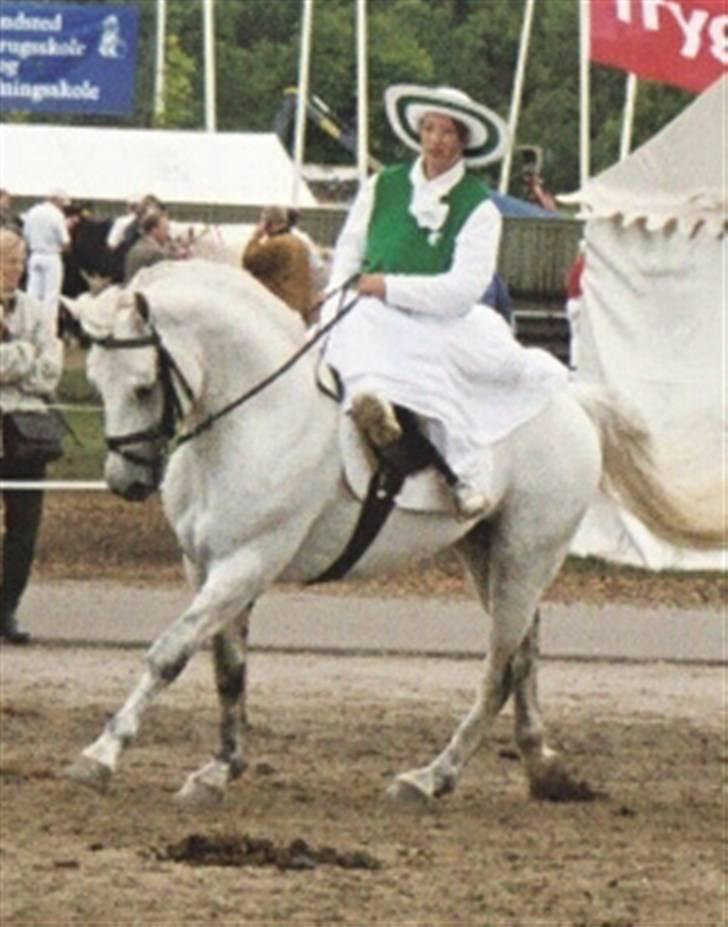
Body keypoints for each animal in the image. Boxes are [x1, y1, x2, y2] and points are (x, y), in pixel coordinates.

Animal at [67, 258, 724, 808]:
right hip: (490, 555)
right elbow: (228, 670)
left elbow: (169, 653)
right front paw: (220, 768)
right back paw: (543, 768)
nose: (125, 481)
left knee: (498, 670)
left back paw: (431, 777)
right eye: (96, 384)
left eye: (143, 386)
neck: (250, 420)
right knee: (524, 657)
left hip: (526, 555)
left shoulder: (247, 563)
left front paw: (101, 755)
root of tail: (569, 400)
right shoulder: (208, 567)